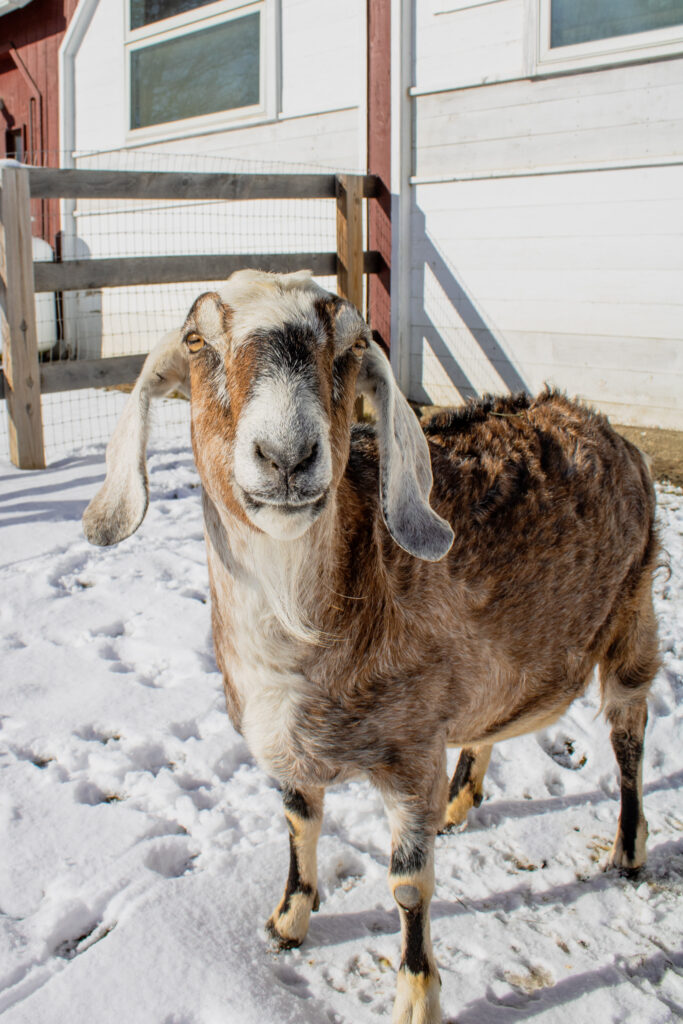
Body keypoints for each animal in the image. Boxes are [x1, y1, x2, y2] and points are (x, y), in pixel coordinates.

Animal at [83, 269, 659, 1024]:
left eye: (352, 348)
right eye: (196, 341)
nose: (287, 456)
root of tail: (596, 422)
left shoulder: (409, 752)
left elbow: (408, 884)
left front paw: (415, 996)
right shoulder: (293, 753)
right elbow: (299, 826)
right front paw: (287, 921)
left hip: (632, 618)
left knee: (628, 741)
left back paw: (626, 852)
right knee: (489, 724)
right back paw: (460, 803)